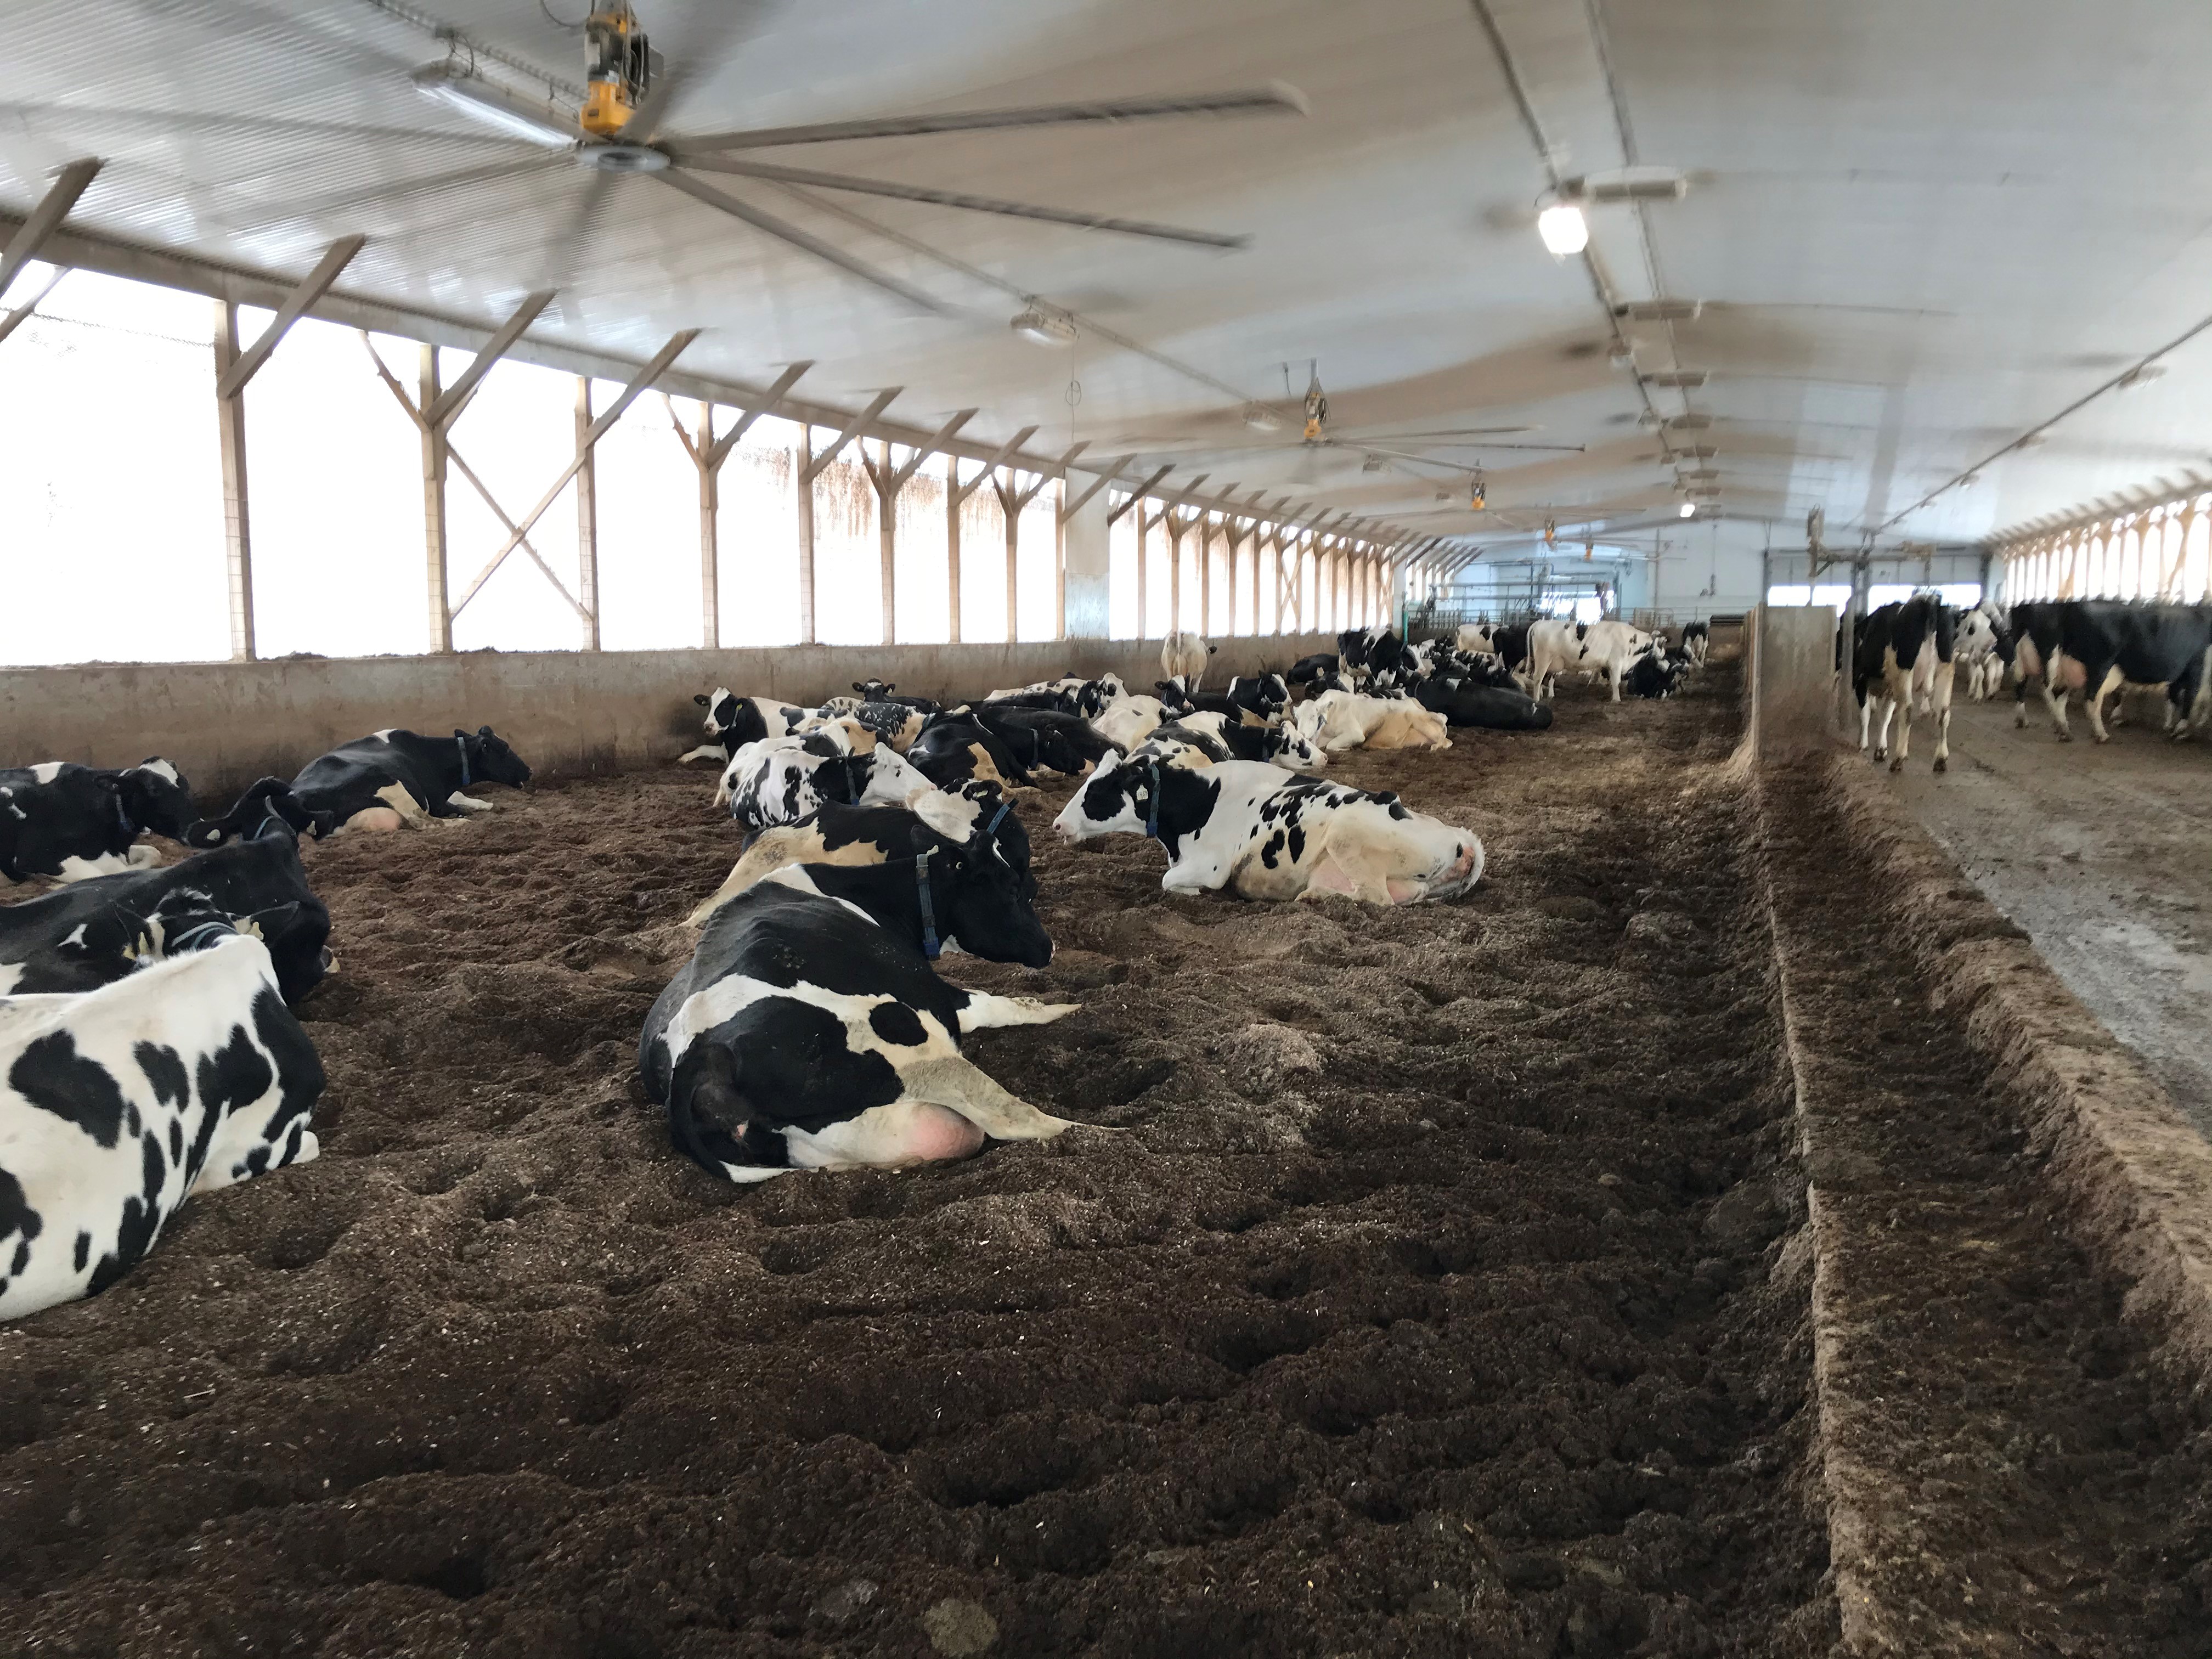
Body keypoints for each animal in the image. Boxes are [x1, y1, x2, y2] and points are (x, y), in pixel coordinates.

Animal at [0, 756, 205, 884]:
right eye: (154, 790)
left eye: (185, 784)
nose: (199, 829)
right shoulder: (34, 855)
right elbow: (106, 873)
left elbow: (153, 853)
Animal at [1053, 756, 1486, 911]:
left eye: (1096, 792)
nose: (1058, 824)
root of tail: (1461, 838)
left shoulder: (1212, 867)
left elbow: (1169, 881)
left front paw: (1191, 893)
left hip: (1344, 834)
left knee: (1377, 899)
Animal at [1858, 601, 1964, 778]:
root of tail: (1931, 603)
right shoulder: (1891, 691)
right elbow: (1885, 717)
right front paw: (1880, 750)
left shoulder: (1861, 681)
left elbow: (1866, 715)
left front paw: (1863, 745)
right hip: (1946, 668)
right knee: (1943, 713)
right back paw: (1941, 759)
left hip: (1905, 671)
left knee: (1907, 710)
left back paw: (1899, 759)